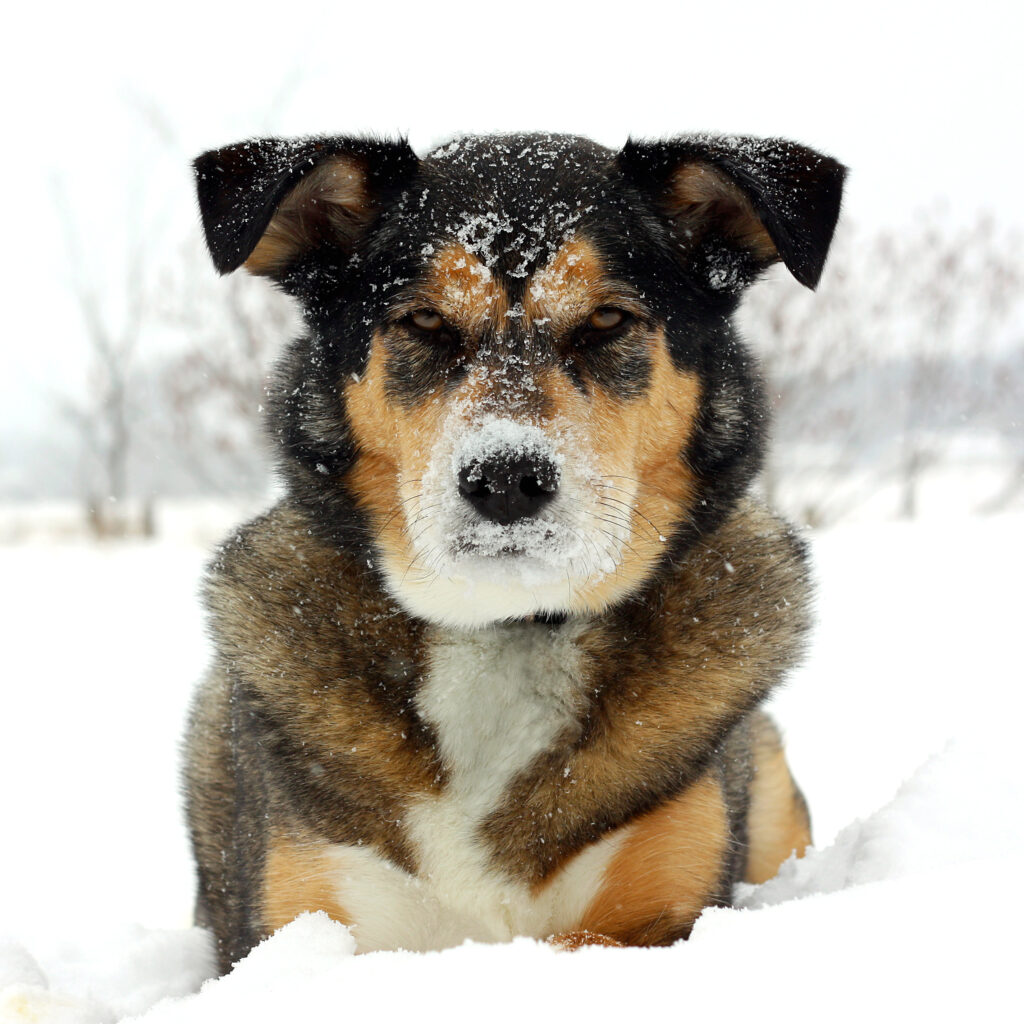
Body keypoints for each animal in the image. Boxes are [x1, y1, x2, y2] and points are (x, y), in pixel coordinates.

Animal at [186, 132, 847, 970]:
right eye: (425, 321)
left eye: (607, 319)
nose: (503, 479)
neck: (505, 629)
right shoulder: (298, 922)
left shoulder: (668, 916)